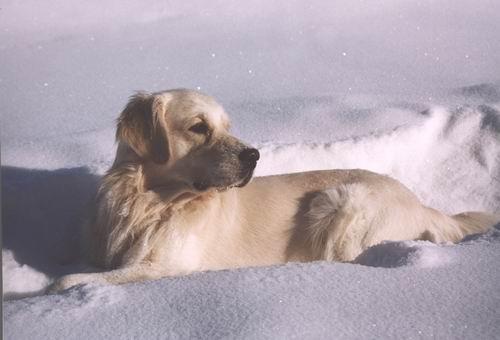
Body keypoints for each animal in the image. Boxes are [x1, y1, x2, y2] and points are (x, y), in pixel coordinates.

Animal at [48, 89, 498, 290]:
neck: (148, 200)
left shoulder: (169, 266)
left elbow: (67, 281)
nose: (254, 156)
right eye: (198, 127)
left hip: (340, 204)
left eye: (227, 126)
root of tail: (423, 204)